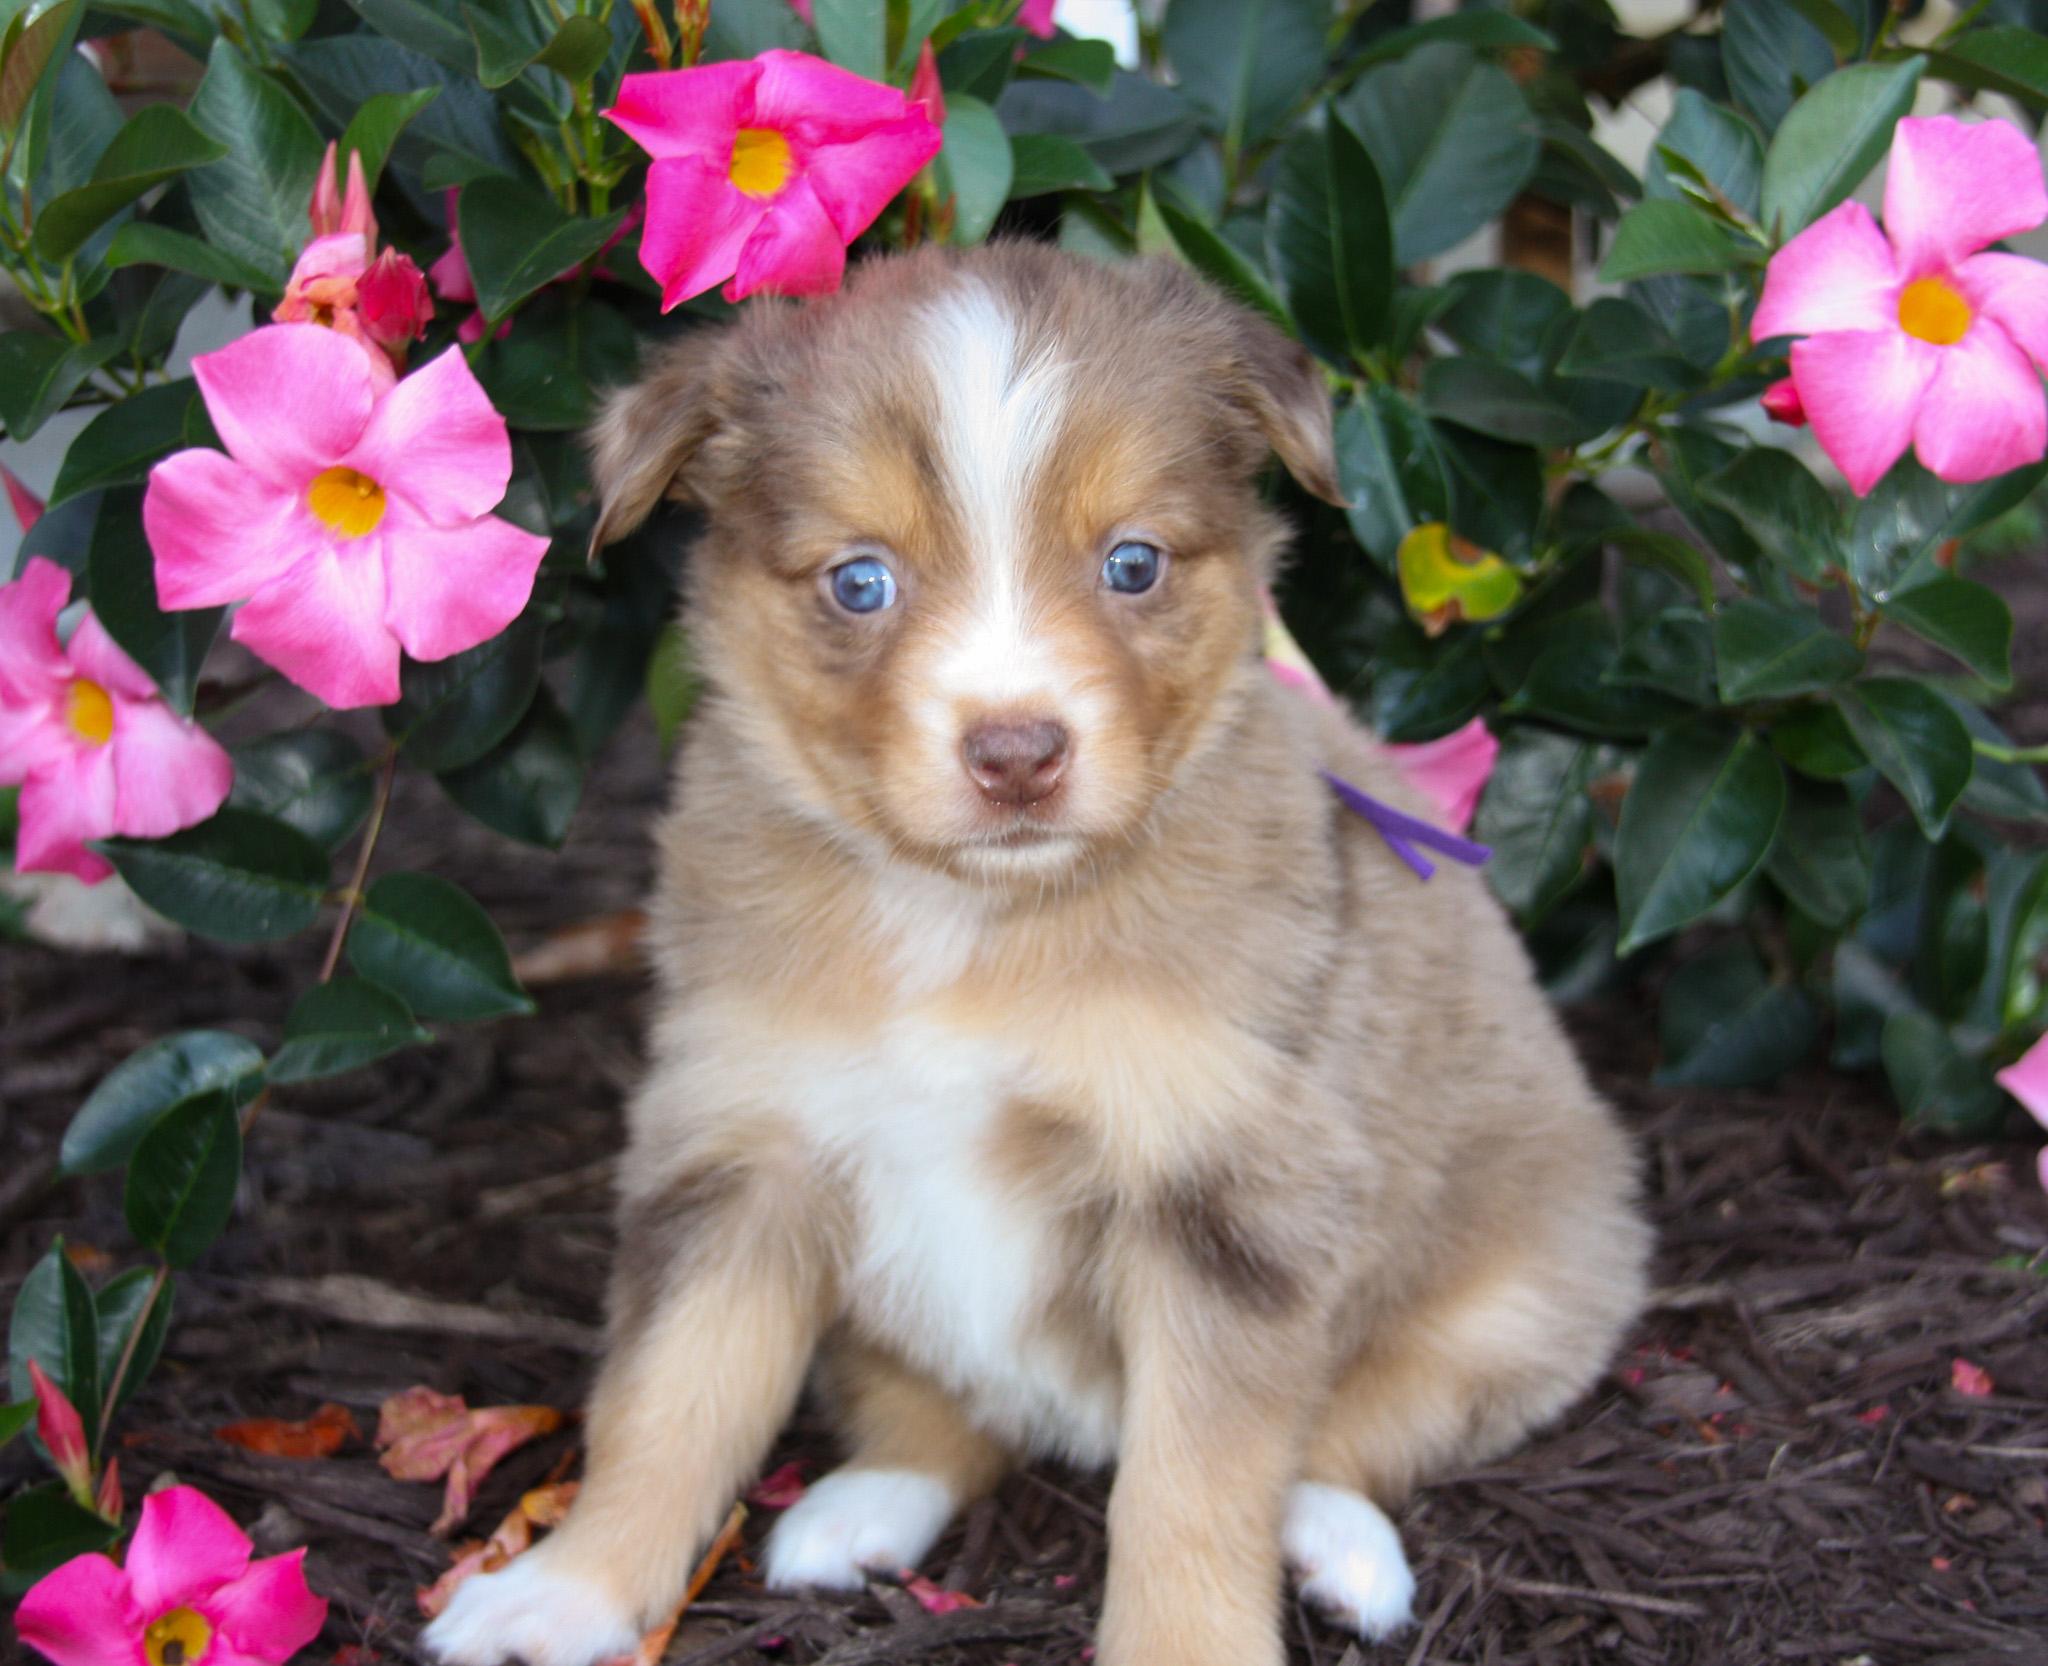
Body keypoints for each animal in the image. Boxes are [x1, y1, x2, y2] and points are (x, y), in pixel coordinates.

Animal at [424, 243, 1649, 1666]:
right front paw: (564, 1592)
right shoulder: (742, 1147)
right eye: (858, 581)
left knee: (1349, 1431)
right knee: (944, 1420)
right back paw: (859, 1509)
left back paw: (1340, 1547)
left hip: (1525, 1294)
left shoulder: (1223, 1188)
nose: (1015, 753)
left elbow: (1193, 1480)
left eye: (1132, 563)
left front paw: (1183, 1648)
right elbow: (666, 1396)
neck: (971, 917)